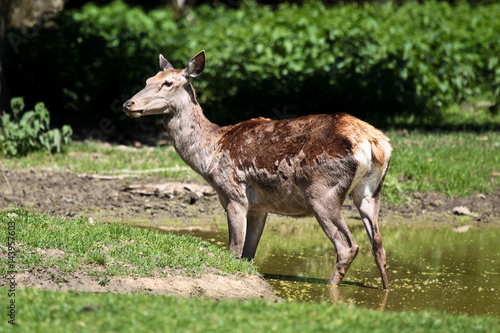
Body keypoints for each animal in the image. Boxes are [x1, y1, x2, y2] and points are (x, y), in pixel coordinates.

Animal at [123, 50, 392, 288]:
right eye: (148, 80)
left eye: (167, 83)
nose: (128, 104)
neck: (210, 154)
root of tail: (375, 143)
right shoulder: (260, 207)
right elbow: (248, 255)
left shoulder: (234, 194)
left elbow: (234, 250)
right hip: (370, 191)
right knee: (378, 245)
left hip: (322, 191)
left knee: (347, 245)